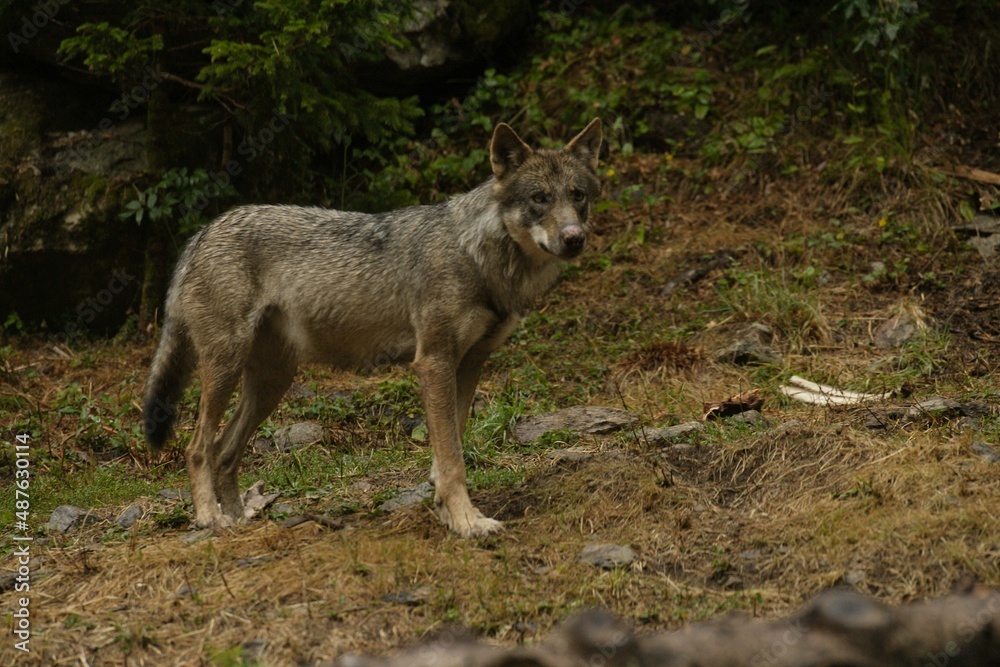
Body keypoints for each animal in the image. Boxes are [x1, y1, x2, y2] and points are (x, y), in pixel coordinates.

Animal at [142, 119, 603, 537]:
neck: (480, 256)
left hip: (272, 383)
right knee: (198, 447)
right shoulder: (434, 362)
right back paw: (210, 518)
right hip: (227, 367)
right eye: (539, 198)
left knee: (224, 452)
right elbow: (453, 459)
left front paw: (447, 511)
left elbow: (449, 450)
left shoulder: (470, 364)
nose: (574, 238)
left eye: (577, 196)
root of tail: (203, 231)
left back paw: (240, 521)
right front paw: (468, 522)